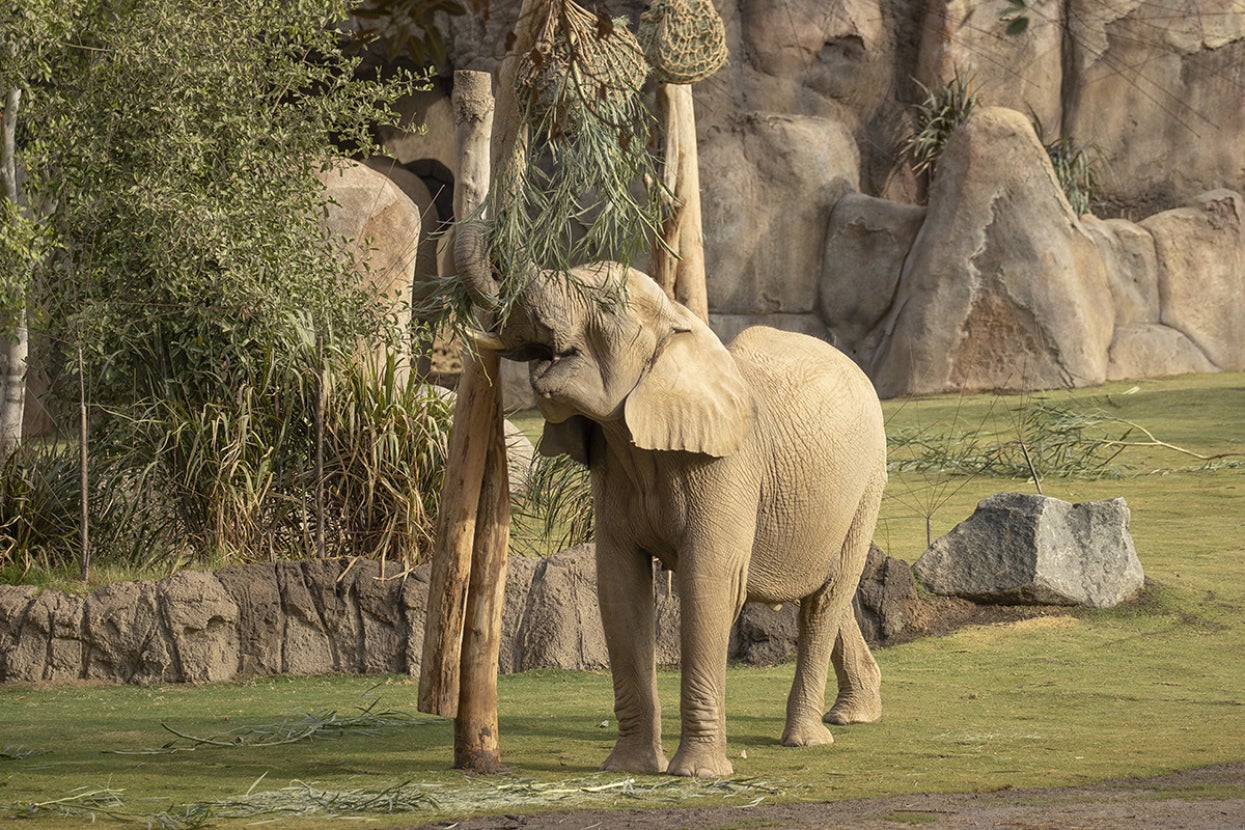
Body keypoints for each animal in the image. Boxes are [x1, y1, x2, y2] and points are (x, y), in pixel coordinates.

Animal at [457, 222, 887, 777]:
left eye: (604, 304)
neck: (679, 324)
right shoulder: (614, 469)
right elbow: (619, 586)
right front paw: (629, 768)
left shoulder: (727, 466)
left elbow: (710, 582)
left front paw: (698, 773)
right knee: (821, 590)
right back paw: (854, 715)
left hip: (868, 481)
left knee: (826, 595)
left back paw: (807, 740)